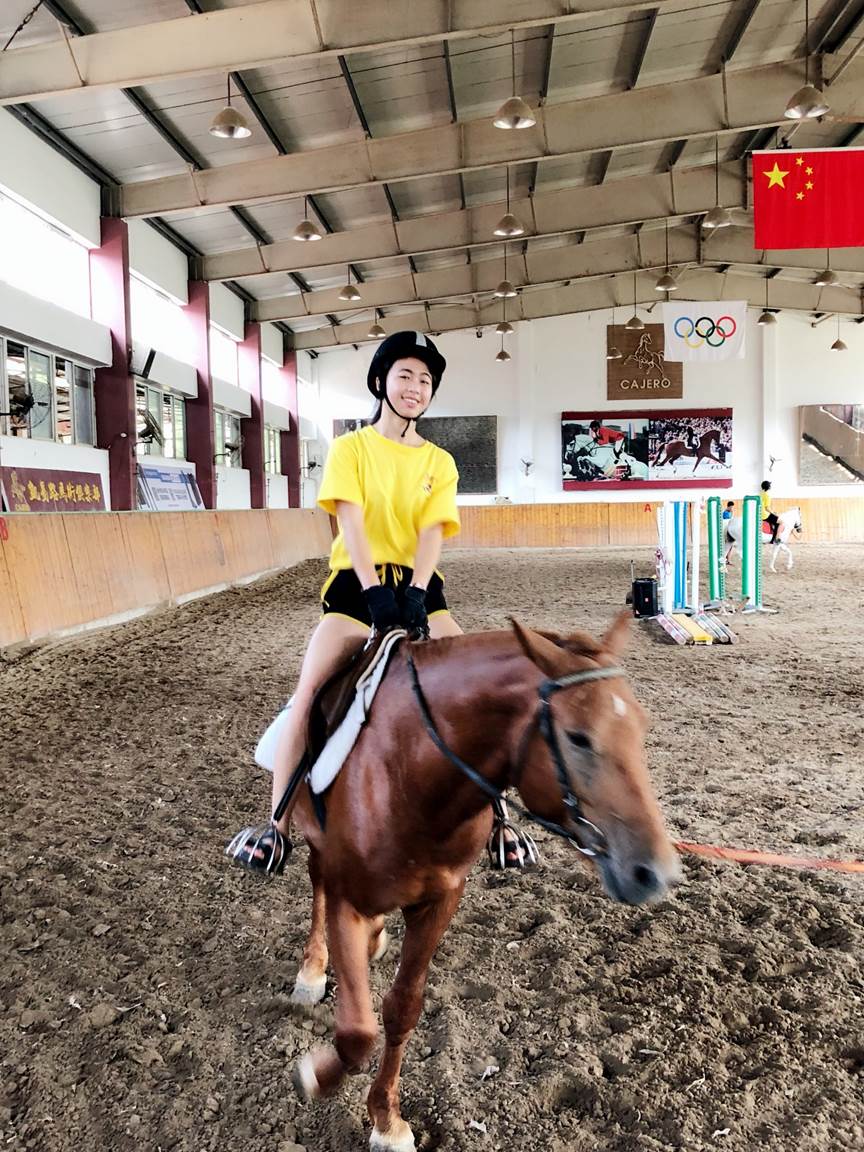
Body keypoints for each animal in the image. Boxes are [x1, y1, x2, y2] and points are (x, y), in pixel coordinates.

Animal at [286, 614, 681, 1151]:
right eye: (578, 737)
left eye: (641, 726)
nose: (655, 871)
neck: (408, 774)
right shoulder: (349, 900)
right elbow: (356, 1032)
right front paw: (317, 1076)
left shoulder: (440, 900)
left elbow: (401, 1009)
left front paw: (387, 1120)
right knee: (316, 886)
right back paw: (312, 969)